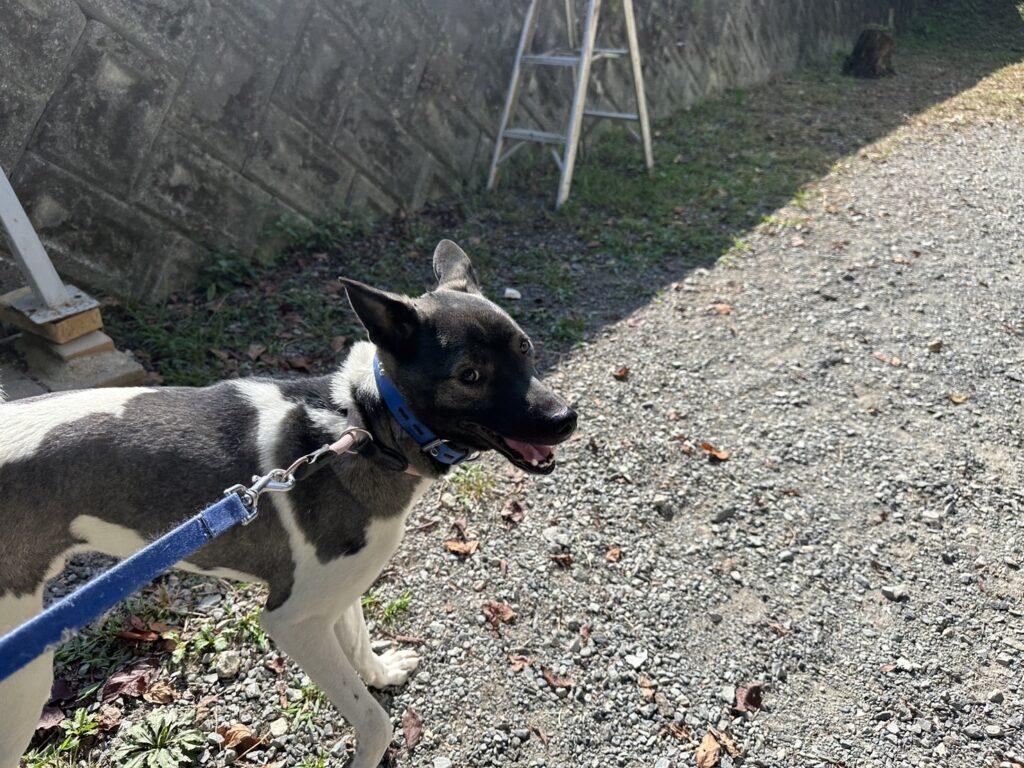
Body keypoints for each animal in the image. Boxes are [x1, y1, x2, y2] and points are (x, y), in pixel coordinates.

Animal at [0, 240, 577, 767]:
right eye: (470, 376)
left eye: (525, 347)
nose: (565, 418)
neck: (367, 425)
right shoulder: (291, 621)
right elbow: (375, 721)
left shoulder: (336, 594)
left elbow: (359, 641)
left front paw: (381, 674)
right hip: (24, 681)